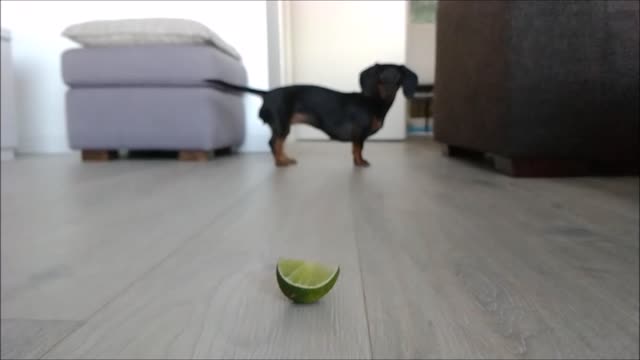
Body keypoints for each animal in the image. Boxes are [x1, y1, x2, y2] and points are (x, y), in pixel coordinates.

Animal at [206, 63, 420, 167]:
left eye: (398, 78)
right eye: (381, 77)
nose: (389, 91)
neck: (375, 102)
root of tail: (268, 93)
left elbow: (356, 150)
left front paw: (358, 162)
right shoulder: (359, 134)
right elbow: (358, 149)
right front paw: (360, 163)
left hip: (282, 126)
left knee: (278, 144)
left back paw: (285, 158)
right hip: (281, 124)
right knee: (273, 143)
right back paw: (281, 162)